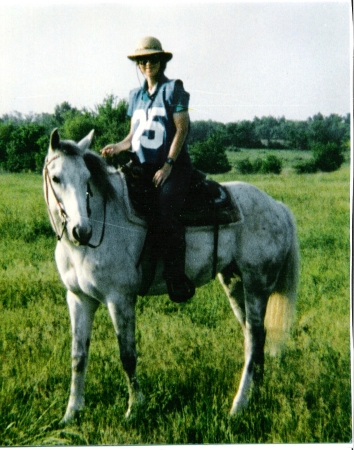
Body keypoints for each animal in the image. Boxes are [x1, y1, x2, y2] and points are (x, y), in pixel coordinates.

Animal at [43, 129, 298, 426]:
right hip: (235, 283)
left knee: (256, 337)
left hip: (256, 284)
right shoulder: (78, 299)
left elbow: (127, 355)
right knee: (253, 339)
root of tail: (277, 207)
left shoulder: (120, 299)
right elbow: (78, 356)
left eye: (87, 179)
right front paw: (71, 413)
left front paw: (134, 409)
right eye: (56, 178)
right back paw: (254, 394)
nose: (81, 231)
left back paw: (239, 405)